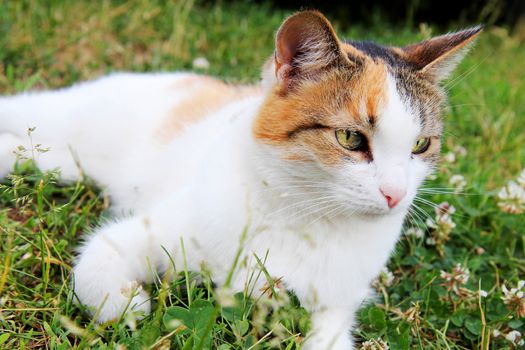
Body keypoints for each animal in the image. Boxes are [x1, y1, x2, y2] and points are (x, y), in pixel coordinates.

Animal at [0, 10, 482, 350]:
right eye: (350, 138)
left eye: (420, 145)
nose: (396, 195)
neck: (306, 220)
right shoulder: (152, 231)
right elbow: (95, 264)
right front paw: (128, 304)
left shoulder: (335, 303)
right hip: (66, 118)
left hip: (69, 161)